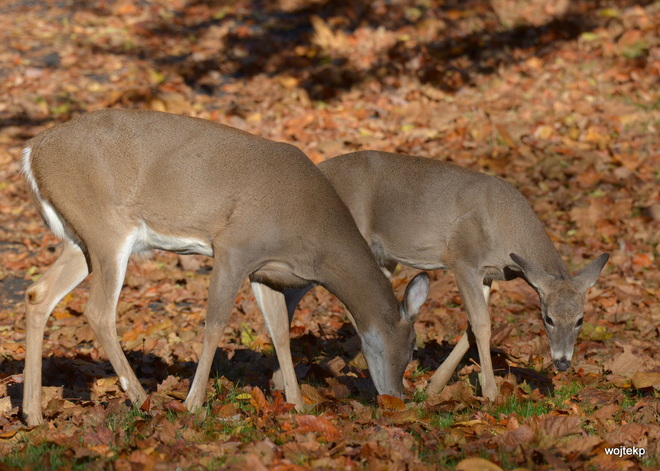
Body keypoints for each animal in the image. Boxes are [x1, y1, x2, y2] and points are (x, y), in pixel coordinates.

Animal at [19, 111, 428, 428]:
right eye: (410, 349)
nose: (397, 400)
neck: (313, 238)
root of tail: (31, 151)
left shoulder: (264, 271)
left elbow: (280, 331)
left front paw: (297, 405)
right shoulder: (234, 246)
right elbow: (215, 324)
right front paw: (193, 404)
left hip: (81, 239)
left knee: (38, 294)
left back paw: (33, 415)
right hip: (107, 227)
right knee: (98, 311)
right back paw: (142, 400)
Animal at [260, 151, 608, 402]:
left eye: (580, 319)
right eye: (547, 318)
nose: (562, 362)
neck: (507, 229)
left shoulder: (487, 275)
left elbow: (471, 327)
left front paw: (434, 386)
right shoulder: (463, 260)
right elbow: (482, 325)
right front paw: (491, 394)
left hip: (379, 258)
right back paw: (280, 380)